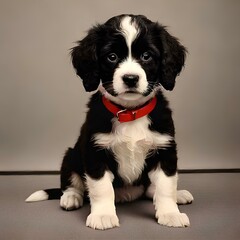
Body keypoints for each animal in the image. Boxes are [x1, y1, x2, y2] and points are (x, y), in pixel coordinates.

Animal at [26, 14, 194, 230]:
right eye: (112, 56)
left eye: (146, 56)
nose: (130, 78)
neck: (130, 112)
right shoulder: (95, 152)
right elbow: (101, 188)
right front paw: (103, 215)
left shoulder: (165, 149)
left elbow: (166, 186)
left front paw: (170, 213)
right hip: (70, 155)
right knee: (72, 182)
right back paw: (71, 197)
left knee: (152, 189)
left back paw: (178, 195)